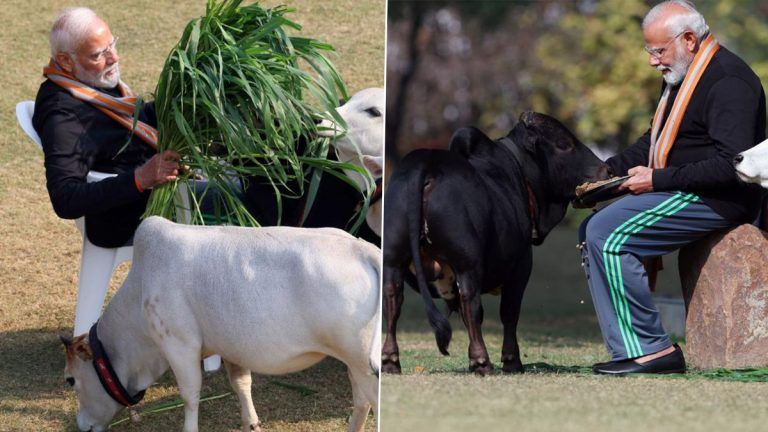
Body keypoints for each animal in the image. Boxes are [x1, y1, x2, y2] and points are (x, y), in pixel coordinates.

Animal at [61, 218, 380, 430]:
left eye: (70, 380)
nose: (82, 424)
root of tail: (362, 249)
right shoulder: (230, 347)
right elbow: (241, 383)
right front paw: (251, 423)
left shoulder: (179, 344)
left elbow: (190, 395)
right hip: (354, 363)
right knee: (362, 401)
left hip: (363, 362)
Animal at [384, 112, 612, 374]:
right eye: (564, 144)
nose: (606, 169)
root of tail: (428, 162)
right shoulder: (521, 267)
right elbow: (509, 313)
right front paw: (512, 360)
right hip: (467, 261)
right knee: (470, 303)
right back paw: (481, 361)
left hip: (393, 259)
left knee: (393, 299)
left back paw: (390, 361)